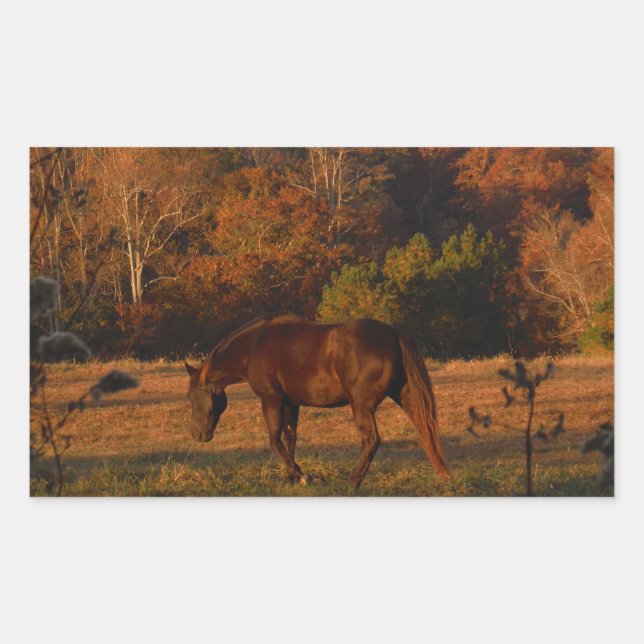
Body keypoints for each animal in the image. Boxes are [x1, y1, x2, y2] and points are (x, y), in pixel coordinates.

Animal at [184, 313, 449, 487]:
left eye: (191, 396)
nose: (197, 434)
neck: (254, 347)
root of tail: (395, 334)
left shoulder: (271, 400)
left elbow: (274, 440)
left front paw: (301, 475)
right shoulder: (290, 403)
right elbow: (290, 438)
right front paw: (291, 476)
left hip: (362, 407)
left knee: (372, 441)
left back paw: (353, 482)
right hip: (406, 397)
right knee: (426, 429)